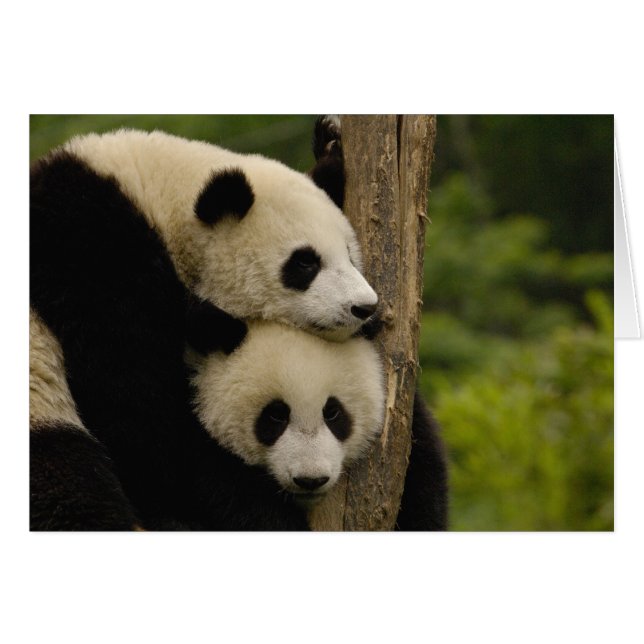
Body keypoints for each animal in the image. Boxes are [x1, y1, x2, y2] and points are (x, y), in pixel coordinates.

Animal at [29, 120, 378, 530]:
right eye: (305, 262)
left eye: (351, 256)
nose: (365, 308)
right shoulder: (94, 262)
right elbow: (146, 417)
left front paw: (329, 144)